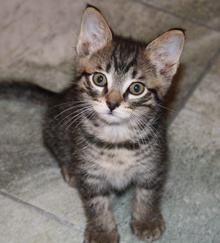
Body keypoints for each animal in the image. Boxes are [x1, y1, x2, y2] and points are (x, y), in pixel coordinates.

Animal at [0, 4, 185, 242]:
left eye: (137, 88)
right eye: (99, 79)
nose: (112, 104)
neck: (117, 138)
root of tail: (58, 97)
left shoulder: (153, 164)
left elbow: (149, 193)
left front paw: (147, 220)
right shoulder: (90, 174)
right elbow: (96, 203)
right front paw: (102, 231)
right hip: (56, 129)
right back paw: (70, 168)